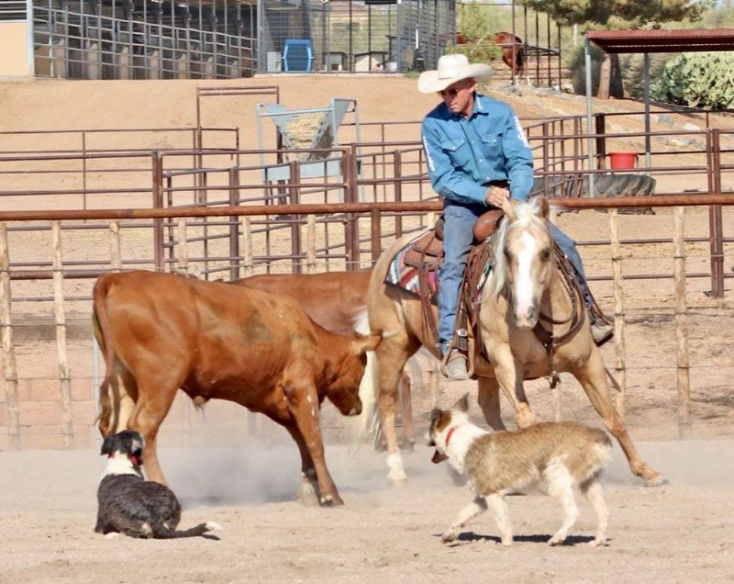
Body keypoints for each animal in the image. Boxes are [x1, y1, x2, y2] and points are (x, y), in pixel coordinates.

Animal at [366, 196, 665, 487]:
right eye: (507, 253)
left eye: (546, 252)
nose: (524, 312)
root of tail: (385, 257)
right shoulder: (506, 364)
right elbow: (528, 420)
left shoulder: (587, 362)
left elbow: (612, 418)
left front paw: (647, 471)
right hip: (394, 347)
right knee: (387, 402)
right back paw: (397, 471)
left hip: (484, 370)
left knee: (489, 410)